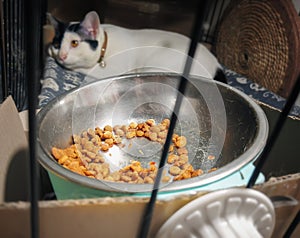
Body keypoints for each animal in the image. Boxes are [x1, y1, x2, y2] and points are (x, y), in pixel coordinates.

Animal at [48, 10, 226, 83]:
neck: (106, 44)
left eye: (74, 43)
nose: (62, 55)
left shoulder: (114, 70)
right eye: (57, 44)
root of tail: (217, 66)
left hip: (155, 68)